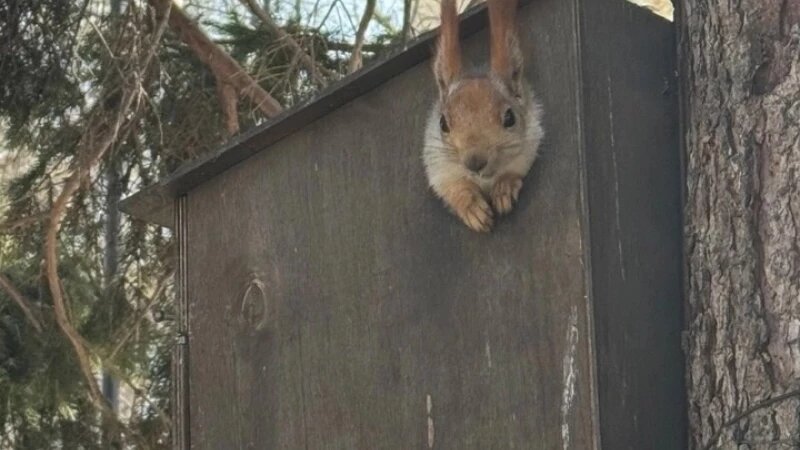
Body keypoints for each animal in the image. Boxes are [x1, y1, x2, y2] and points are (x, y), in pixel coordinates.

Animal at [422, 0, 544, 232]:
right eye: (442, 123)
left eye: (510, 118)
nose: (474, 162)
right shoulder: (438, 163)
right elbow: (452, 187)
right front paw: (471, 207)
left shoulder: (531, 140)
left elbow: (515, 169)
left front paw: (504, 187)